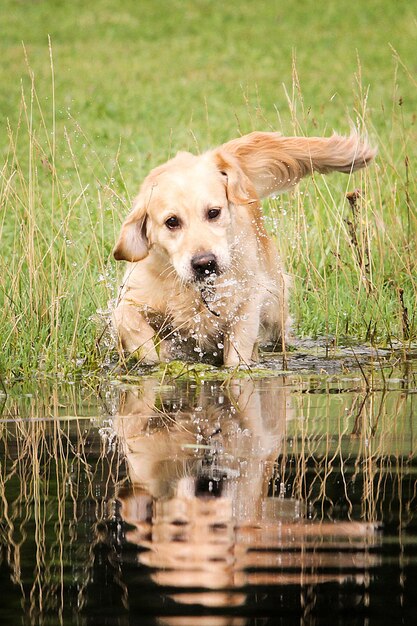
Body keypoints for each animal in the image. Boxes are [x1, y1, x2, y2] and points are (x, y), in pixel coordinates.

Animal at [111, 132, 374, 366]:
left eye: (213, 212)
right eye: (172, 221)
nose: (205, 263)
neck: (198, 292)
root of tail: (220, 157)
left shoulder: (247, 304)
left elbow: (238, 355)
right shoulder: (132, 297)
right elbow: (128, 321)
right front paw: (154, 356)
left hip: (274, 305)